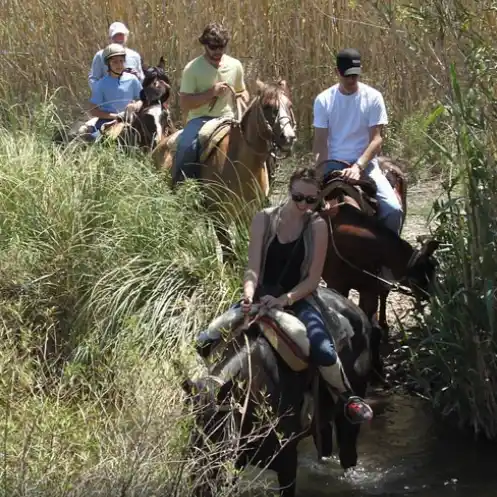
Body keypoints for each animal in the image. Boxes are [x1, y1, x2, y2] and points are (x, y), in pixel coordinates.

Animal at [153, 77, 296, 256]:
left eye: (289, 105)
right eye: (268, 107)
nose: (288, 137)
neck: (241, 165)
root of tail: (160, 146)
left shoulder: (248, 213)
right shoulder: (219, 215)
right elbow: (229, 254)